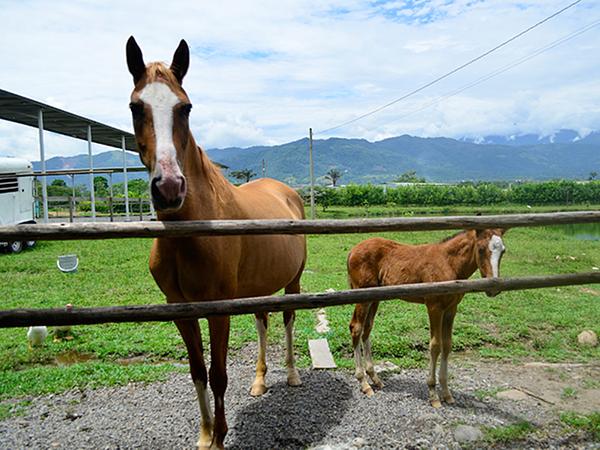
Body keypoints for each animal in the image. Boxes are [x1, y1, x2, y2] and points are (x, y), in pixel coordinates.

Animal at [125, 37, 308, 448]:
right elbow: (197, 371)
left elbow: (218, 373)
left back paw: (291, 375)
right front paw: (206, 433)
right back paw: (259, 381)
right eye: (135, 106)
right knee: (262, 321)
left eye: (186, 107)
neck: (190, 233)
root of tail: (286, 191)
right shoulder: (180, 309)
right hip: (259, 286)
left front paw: (221, 436)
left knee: (288, 319)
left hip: (293, 281)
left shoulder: (218, 309)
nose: (169, 188)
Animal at [346, 229, 506, 408]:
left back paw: (375, 378)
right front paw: (433, 394)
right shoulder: (434, 307)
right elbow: (435, 345)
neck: (448, 263)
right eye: (481, 249)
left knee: (367, 328)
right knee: (356, 327)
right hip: (363, 297)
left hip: (374, 297)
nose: (494, 287)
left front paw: (447, 393)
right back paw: (364, 383)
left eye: (503, 251)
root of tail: (353, 250)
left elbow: (447, 345)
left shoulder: (451, 309)